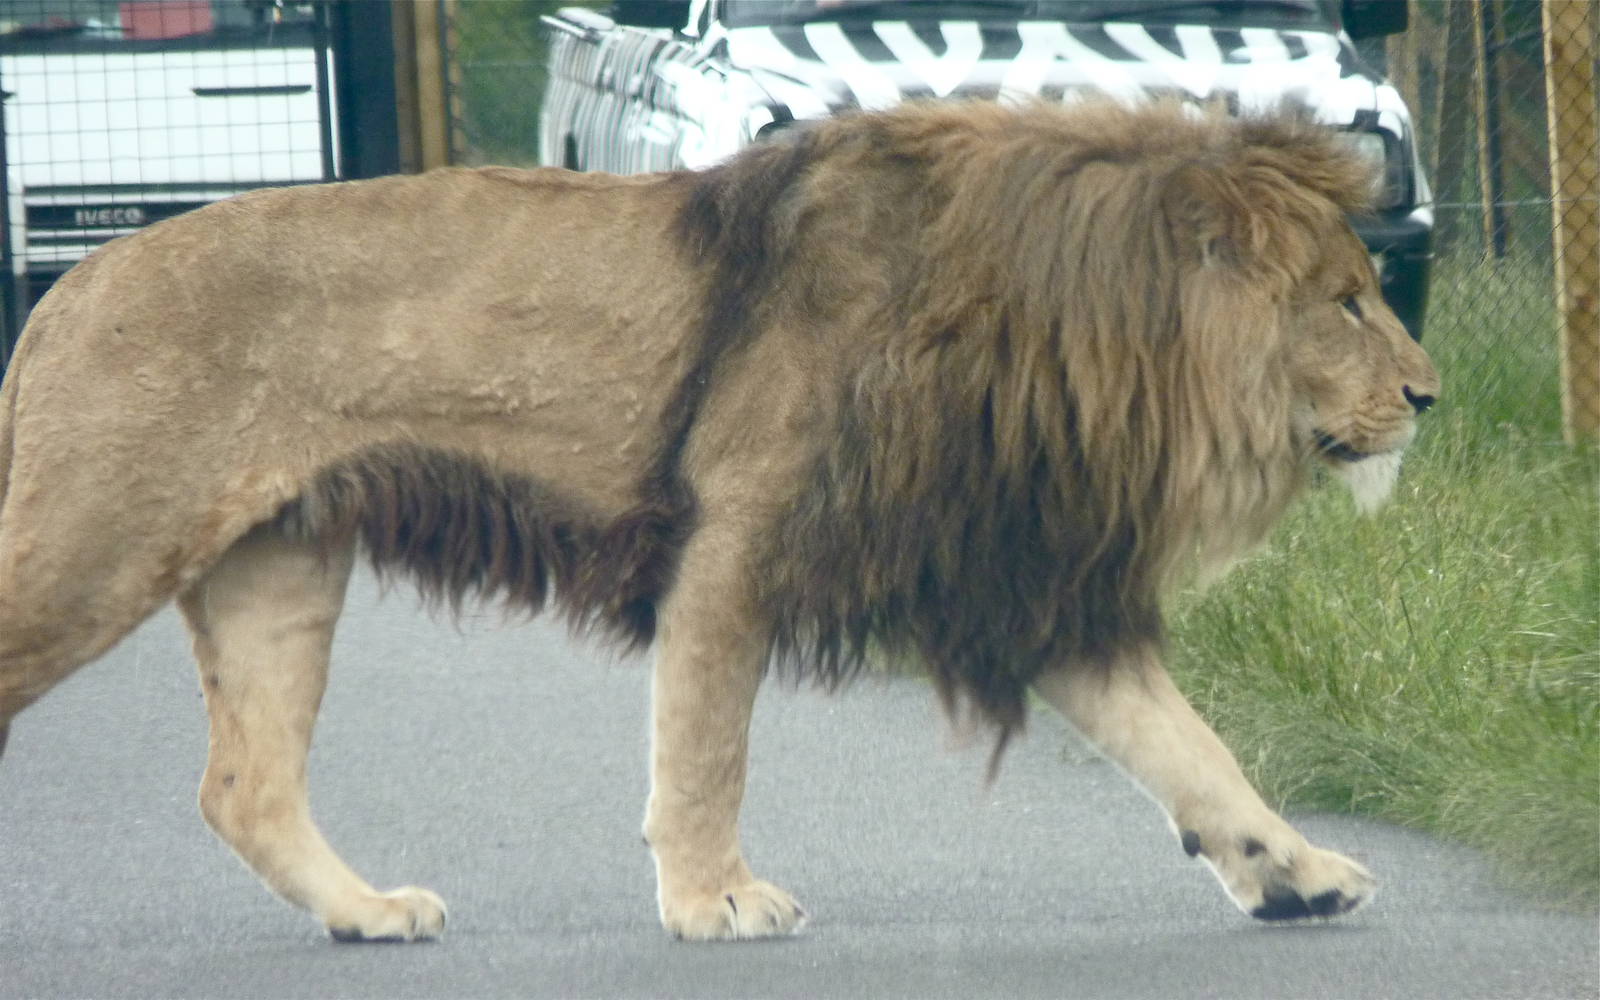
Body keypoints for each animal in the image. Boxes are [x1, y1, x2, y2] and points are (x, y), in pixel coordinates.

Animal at [0, 99, 1437, 942]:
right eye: (1344, 302)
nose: (1430, 394)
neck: (1061, 339)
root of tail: (66, 287)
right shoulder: (736, 539)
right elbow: (705, 751)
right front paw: (714, 900)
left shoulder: (1020, 577)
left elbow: (1194, 751)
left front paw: (1296, 872)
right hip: (95, 545)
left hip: (280, 567)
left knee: (243, 784)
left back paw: (366, 913)